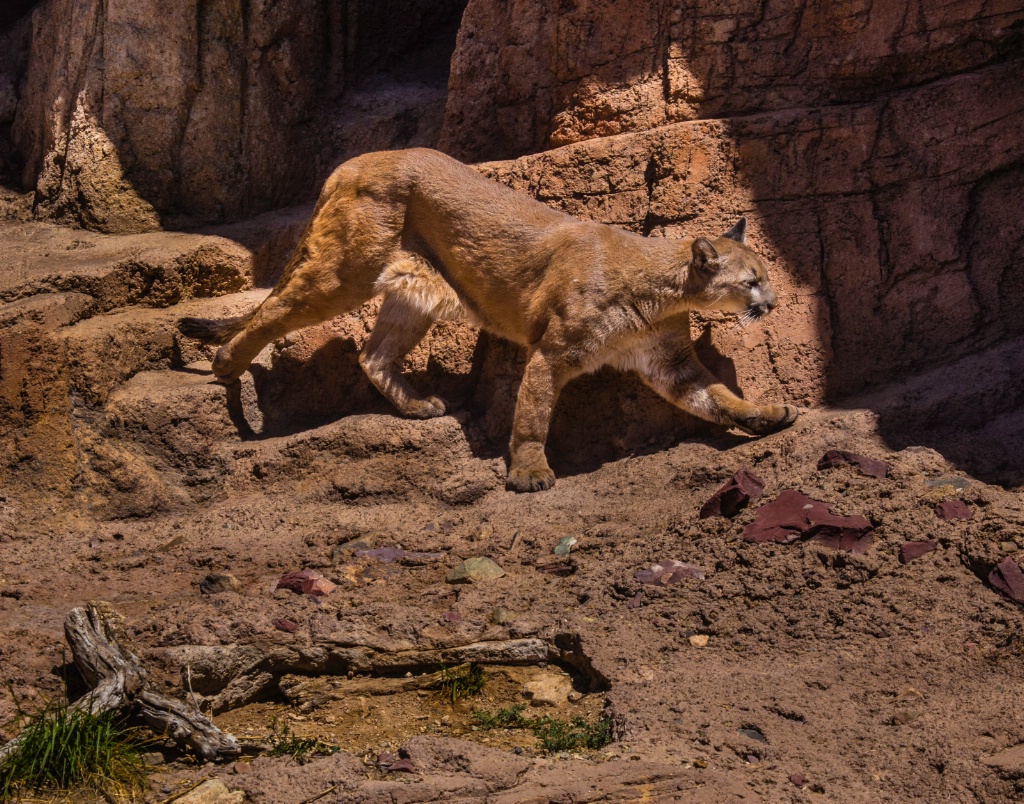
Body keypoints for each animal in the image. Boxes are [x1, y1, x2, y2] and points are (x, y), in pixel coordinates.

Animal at [178, 148, 798, 491]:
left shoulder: (670, 362)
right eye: (751, 281)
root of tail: (353, 162)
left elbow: (717, 397)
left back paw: (417, 406)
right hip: (343, 272)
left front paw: (767, 414)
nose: (771, 304)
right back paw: (224, 364)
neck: (666, 291)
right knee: (275, 312)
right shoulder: (555, 349)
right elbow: (533, 413)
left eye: (766, 275)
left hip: (413, 292)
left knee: (372, 353)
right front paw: (528, 473)